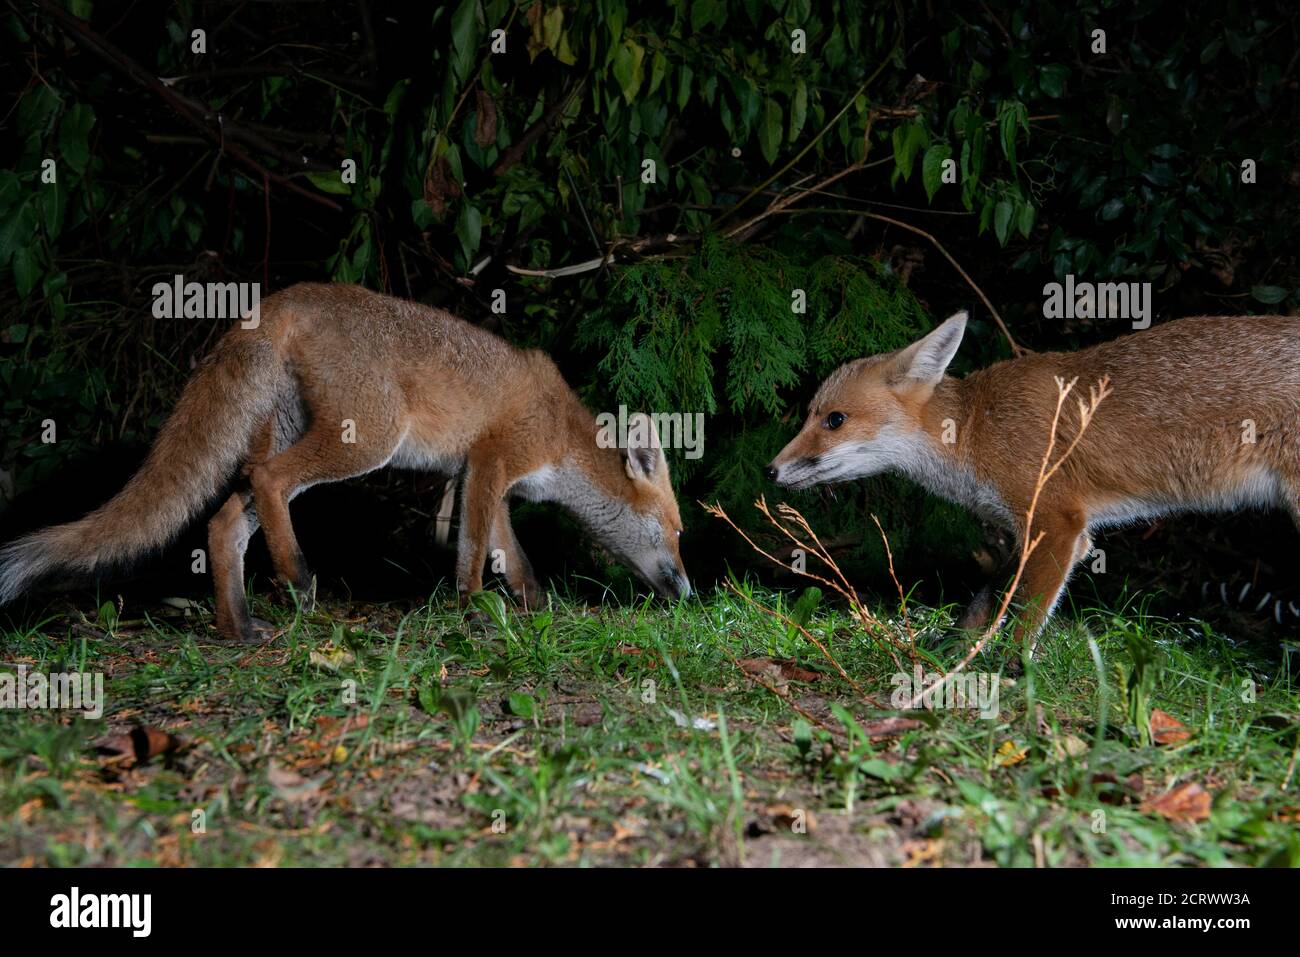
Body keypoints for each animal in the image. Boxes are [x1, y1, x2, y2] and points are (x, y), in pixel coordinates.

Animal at [0, 286, 691, 642]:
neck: (564, 435)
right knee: (269, 482)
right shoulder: (493, 460)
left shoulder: (477, 475)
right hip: (366, 439)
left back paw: (237, 624)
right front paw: (470, 610)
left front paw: (534, 608)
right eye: (678, 532)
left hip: (292, 433)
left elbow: (509, 554)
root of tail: (281, 299)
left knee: (225, 522)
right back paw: (296, 576)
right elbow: (474, 553)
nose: (687, 591)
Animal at [764, 312, 1300, 642]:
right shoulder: (1028, 532)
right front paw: (953, 648)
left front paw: (1007, 677)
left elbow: (1024, 621)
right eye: (809, 414)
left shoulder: (1059, 525)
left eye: (834, 420)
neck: (975, 430)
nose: (770, 470)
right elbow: (983, 601)